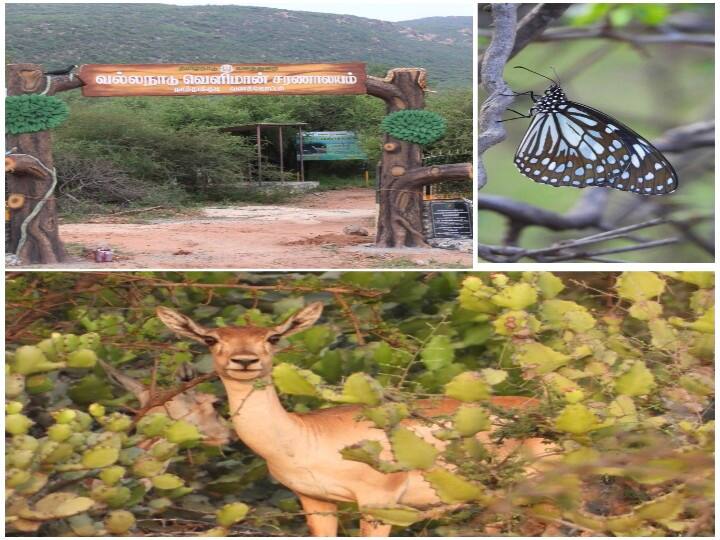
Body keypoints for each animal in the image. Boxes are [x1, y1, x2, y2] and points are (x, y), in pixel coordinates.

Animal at [155, 304, 556, 536]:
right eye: (210, 338)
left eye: (273, 336)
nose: (244, 360)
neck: (305, 439)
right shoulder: (314, 500)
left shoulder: (379, 502)